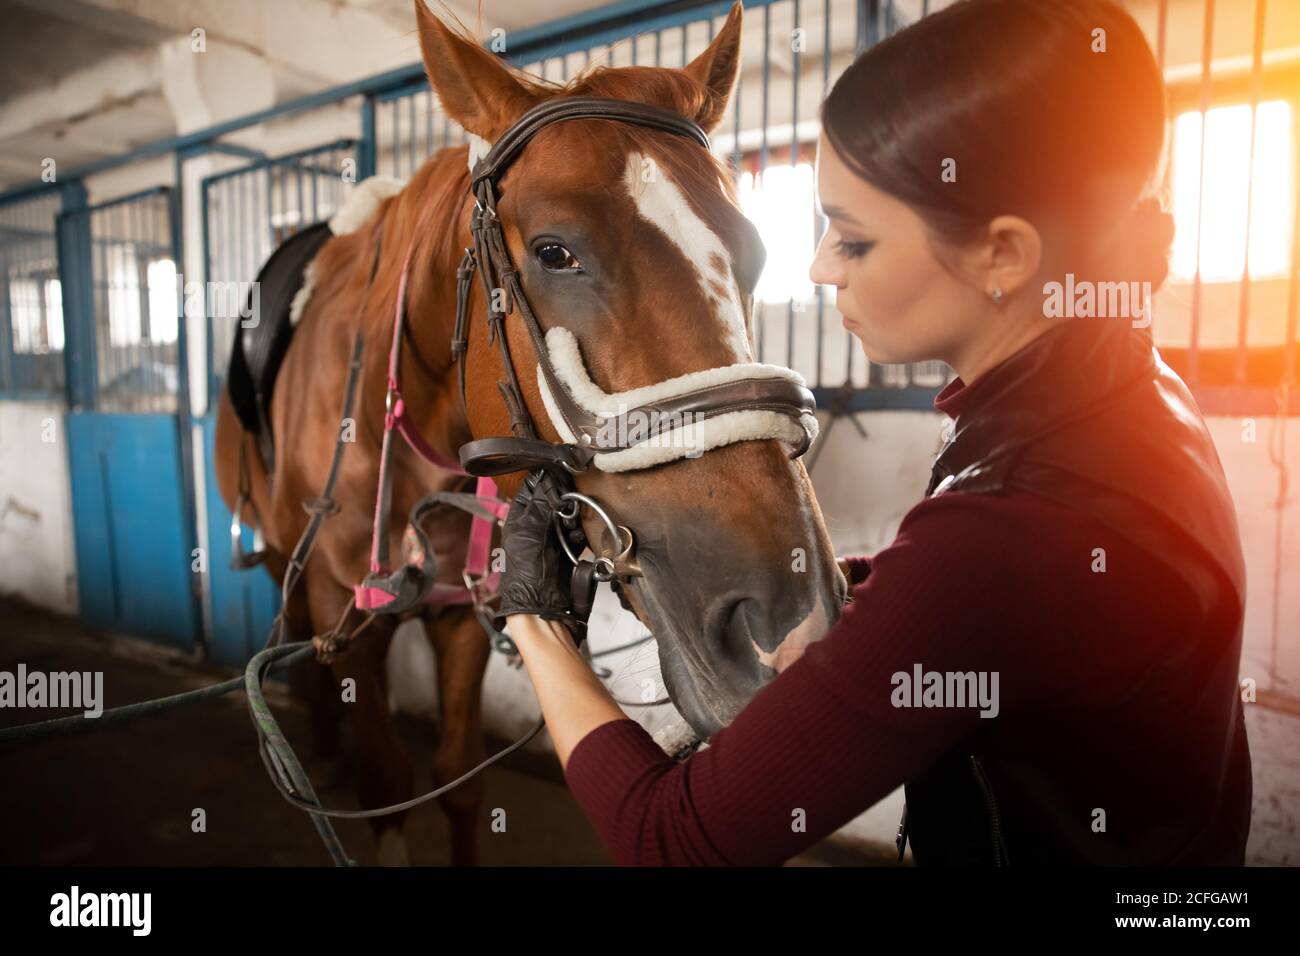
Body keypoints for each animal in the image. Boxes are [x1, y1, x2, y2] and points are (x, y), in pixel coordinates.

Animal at [213, 1, 842, 868]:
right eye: (554, 252)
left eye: (754, 255)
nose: (788, 622)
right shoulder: (352, 620)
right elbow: (385, 782)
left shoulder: (465, 616)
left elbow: (458, 778)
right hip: (286, 559)